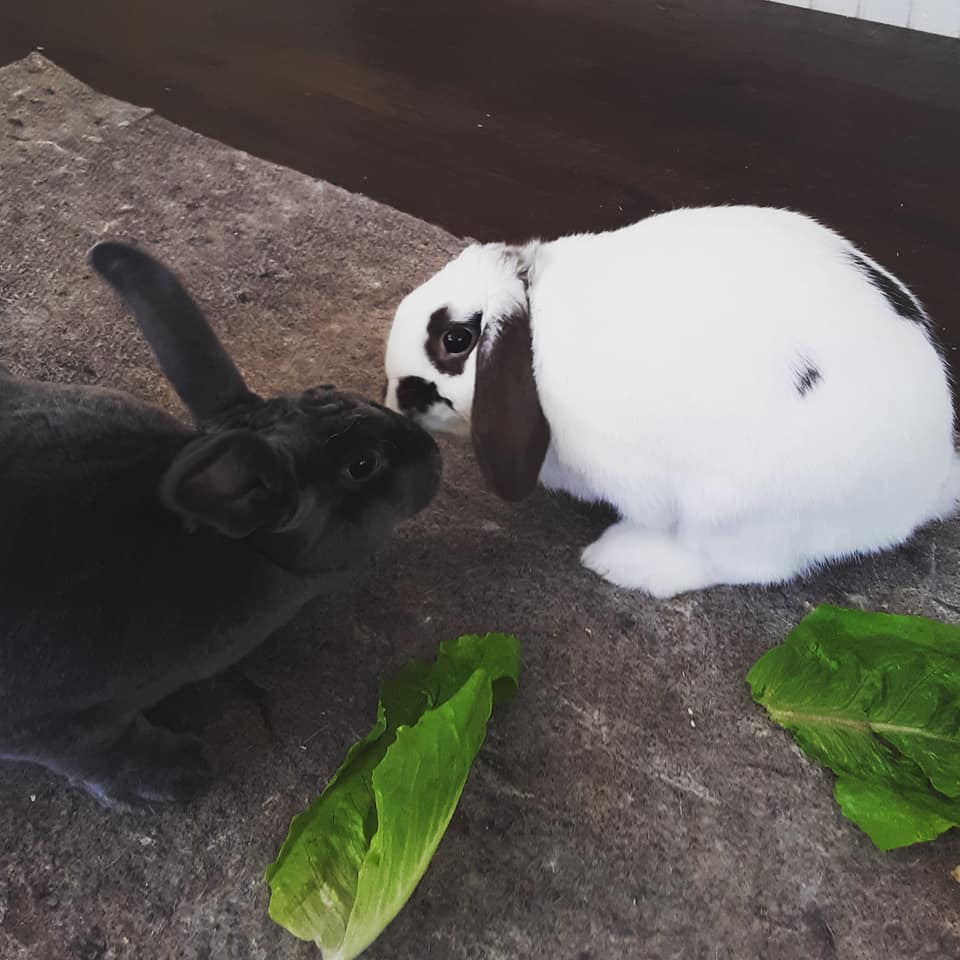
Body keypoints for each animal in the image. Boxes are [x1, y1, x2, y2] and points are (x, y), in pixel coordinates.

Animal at [0, 241, 441, 809]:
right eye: (362, 465)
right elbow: (99, 754)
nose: (434, 453)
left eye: (330, 389)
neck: (242, 548)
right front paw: (182, 774)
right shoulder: (60, 725)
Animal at [383, 204, 959, 599]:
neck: (535, 337)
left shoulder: (634, 477)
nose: (394, 403)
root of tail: (928, 483)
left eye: (456, 339)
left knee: (737, 564)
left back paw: (621, 561)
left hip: (741, 508)